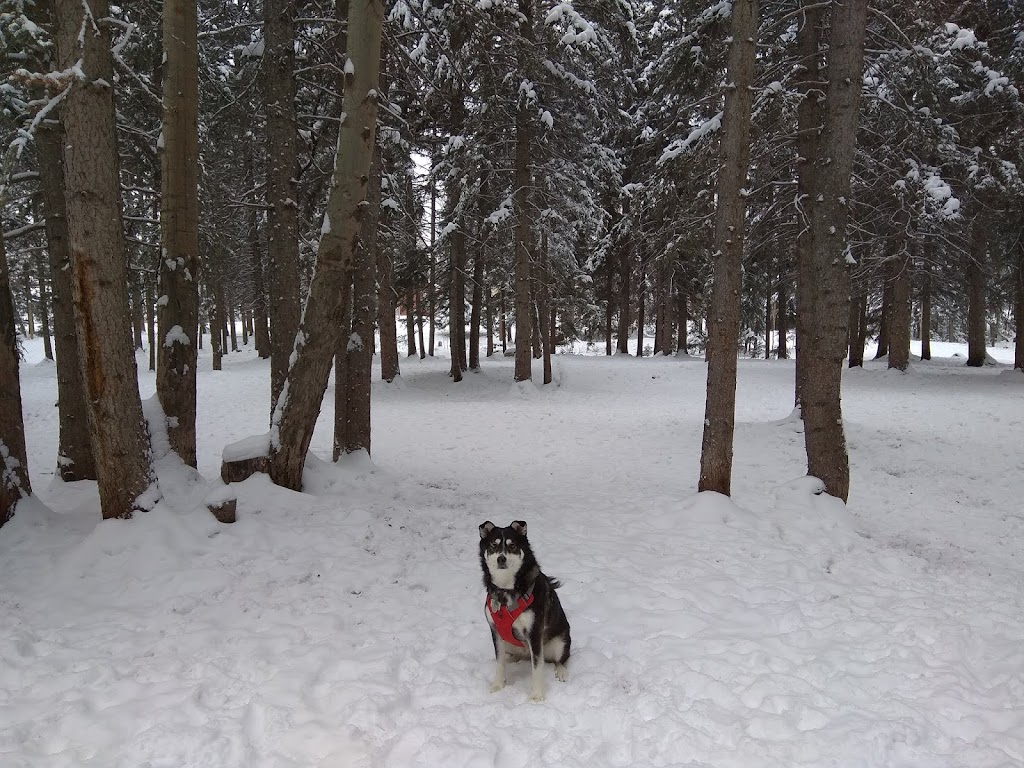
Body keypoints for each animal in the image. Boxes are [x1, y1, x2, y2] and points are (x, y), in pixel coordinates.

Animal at [477, 524, 569, 704]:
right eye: (493, 545)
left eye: (512, 545)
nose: (501, 559)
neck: (506, 589)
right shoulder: (496, 631)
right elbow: (499, 663)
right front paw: (498, 685)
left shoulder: (534, 633)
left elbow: (537, 668)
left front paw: (537, 695)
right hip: (509, 643)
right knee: (514, 656)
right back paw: (512, 659)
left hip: (559, 643)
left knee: (560, 660)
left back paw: (561, 671)